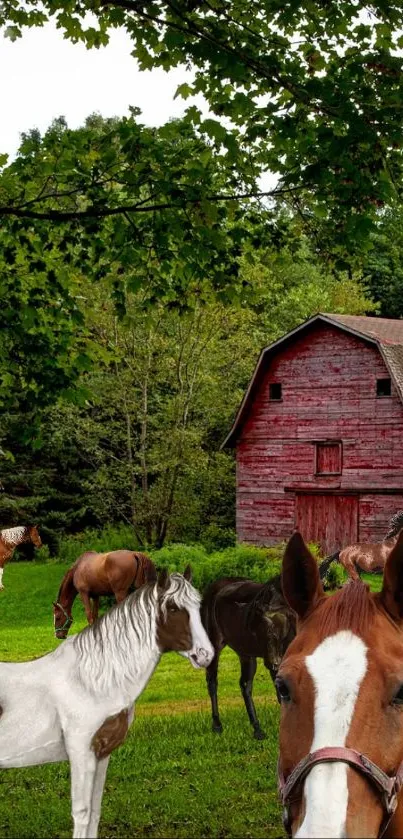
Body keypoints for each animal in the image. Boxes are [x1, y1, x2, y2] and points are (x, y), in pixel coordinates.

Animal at [0, 568, 215, 836]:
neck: (90, 682)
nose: (206, 655)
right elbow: (82, 813)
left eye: (198, 605)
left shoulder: (101, 755)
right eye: (173, 608)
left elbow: (95, 812)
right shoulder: (81, 752)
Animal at [202, 576, 296, 740]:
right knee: (212, 682)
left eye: (276, 630)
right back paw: (217, 725)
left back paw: (257, 729)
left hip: (246, 654)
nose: (273, 663)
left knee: (245, 684)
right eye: (258, 630)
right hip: (215, 646)